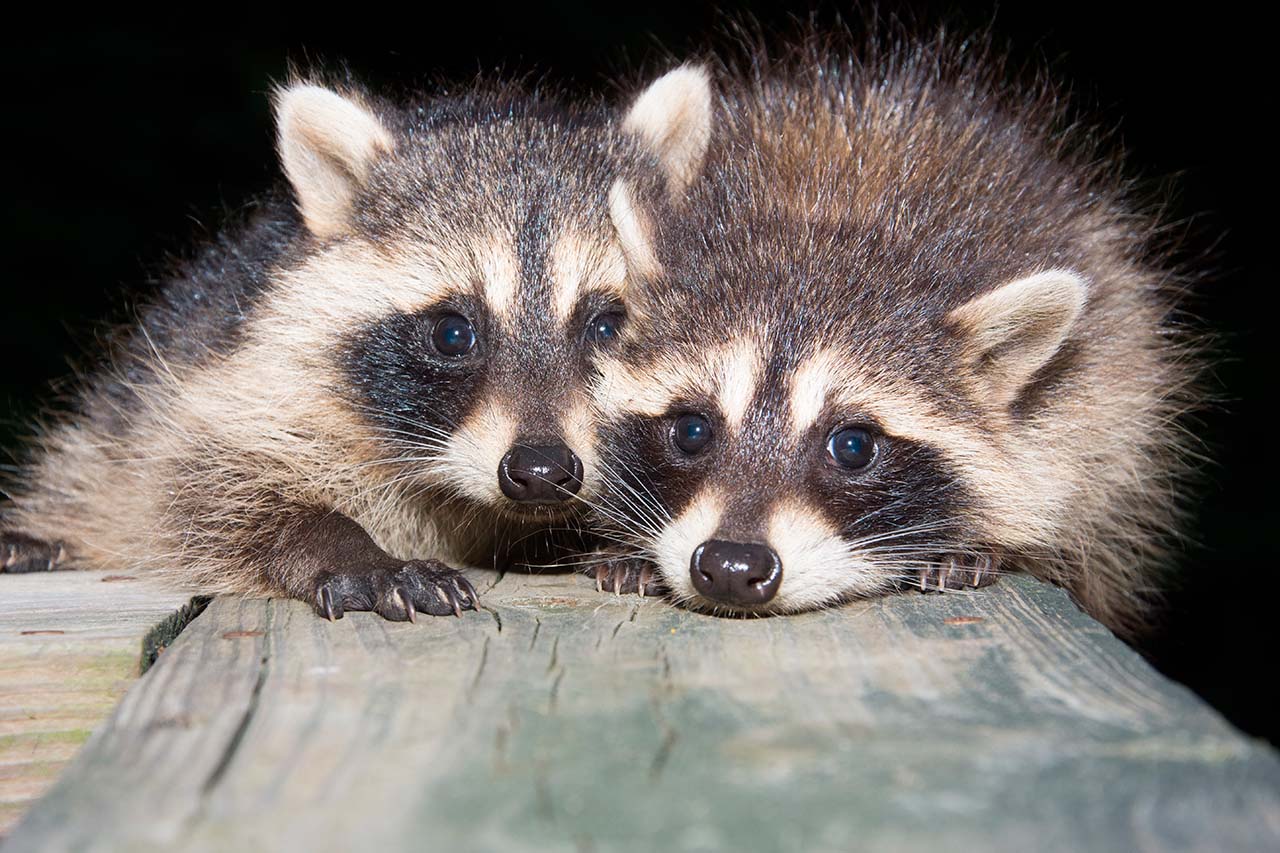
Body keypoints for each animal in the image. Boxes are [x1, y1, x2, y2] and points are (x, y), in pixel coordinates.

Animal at [0, 71, 706, 617]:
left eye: (609, 326)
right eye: (453, 333)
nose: (540, 472)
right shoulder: (228, 381)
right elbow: (199, 488)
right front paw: (341, 545)